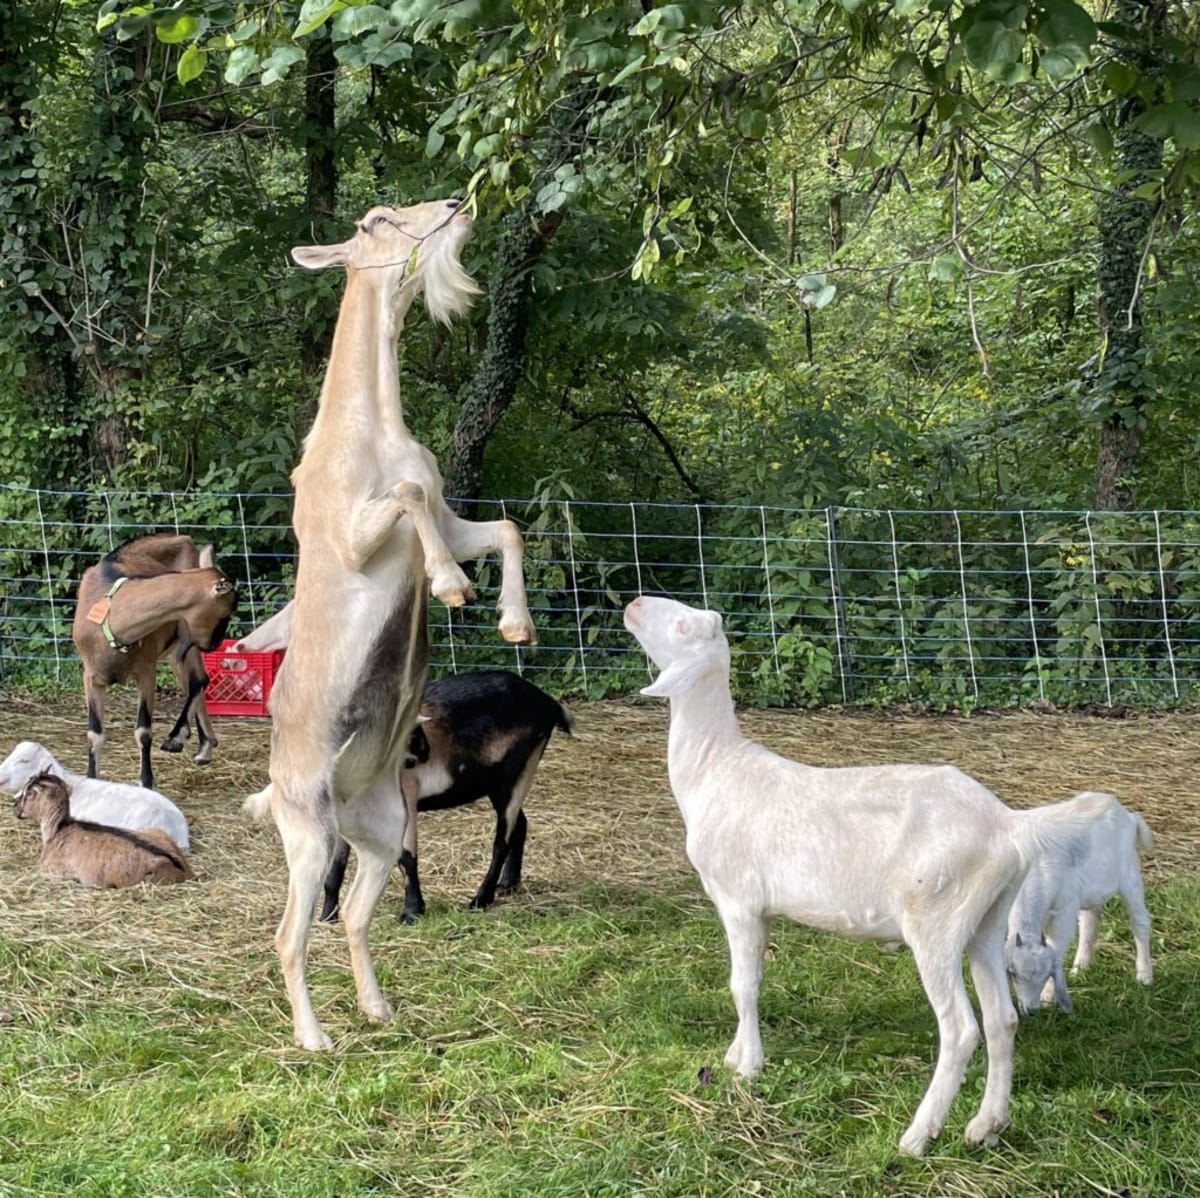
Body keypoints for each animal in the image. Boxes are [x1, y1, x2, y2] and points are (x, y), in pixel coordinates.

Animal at [72, 533, 236, 789]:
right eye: (228, 609)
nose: (215, 644)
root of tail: (185, 538)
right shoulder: (91, 676)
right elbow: (95, 734)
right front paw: (92, 779)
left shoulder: (146, 672)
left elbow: (144, 731)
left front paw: (147, 783)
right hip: (180, 648)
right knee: (194, 683)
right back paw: (205, 746)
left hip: (184, 640)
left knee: (198, 680)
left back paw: (179, 740)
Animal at [252, 199, 536, 1051]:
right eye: (378, 219)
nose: (454, 206)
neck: (368, 430)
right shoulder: (355, 535)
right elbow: (407, 496)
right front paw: (449, 586)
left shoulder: (450, 515)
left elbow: (504, 527)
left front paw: (512, 622)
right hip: (308, 832)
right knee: (289, 932)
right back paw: (315, 1038)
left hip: (377, 830)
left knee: (355, 915)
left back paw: (377, 1007)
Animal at [318, 670, 574, 924]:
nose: (425, 752)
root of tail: (547, 703)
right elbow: (335, 867)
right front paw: (327, 916)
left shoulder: (405, 794)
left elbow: (406, 856)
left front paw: (412, 912)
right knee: (520, 825)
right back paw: (508, 883)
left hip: (517, 772)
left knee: (502, 840)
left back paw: (481, 899)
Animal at [623, 595, 1118, 1157]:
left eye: (683, 626)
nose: (634, 603)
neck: (714, 769)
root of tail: (1007, 824)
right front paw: (735, 1054)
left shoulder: (739, 899)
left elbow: (742, 984)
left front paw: (748, 1065)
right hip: (986, 920)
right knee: (1002, 1019)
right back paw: (986, 1126)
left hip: (936, 920)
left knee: (961, 1029)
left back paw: (919, 1135)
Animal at [1005, 791, 1153, 1015]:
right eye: (1013, 973)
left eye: (1047, 974)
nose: (1031, 1010)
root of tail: (1127, 814)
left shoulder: (1065, 908)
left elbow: (1057, 947)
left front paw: (1048, 997)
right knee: (1090, 920)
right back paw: (1081, 967)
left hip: (1130, 876)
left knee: (1140, 922)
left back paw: (1145, 975)